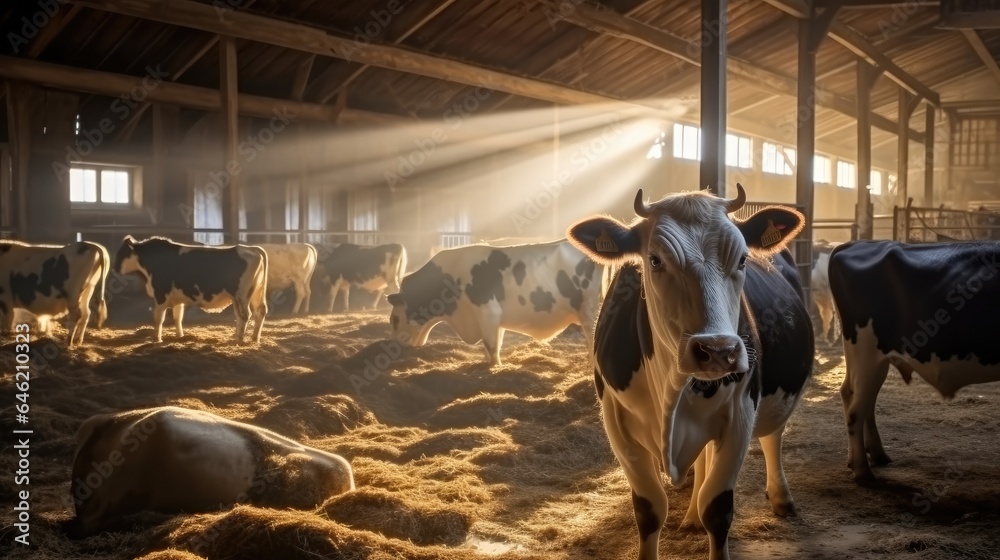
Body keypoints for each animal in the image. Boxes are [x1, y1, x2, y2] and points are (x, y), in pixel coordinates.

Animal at [113, 235, 268, 344]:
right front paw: (180, 336)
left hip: (241, 295)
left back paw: (239, 340)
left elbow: (158, 318)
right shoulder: (177, 299)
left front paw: (157, 339)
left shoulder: (161, 295)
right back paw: (253, 338)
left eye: (121, 253)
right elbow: (178, 317)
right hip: (252, 294)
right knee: (258, 312)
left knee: (244, 315)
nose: (115, 268)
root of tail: (251, 248)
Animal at [384, 237, 600, 366]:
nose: (394, 346)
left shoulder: (487, 312)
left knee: (591, 340)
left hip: (589, 311)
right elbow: (496, 342)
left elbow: (491, 345)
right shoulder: (494, 319)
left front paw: (495, 367)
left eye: (394, 319)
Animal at [568, 186, 816, 560]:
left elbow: (717, 508)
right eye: (655, 260)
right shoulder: (617, 422)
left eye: (742, 259)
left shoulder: (741, 414)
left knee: (772, 435)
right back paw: (692, 516)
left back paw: (781, 498)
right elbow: (649, 509)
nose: (718, 350)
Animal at [832, 238, 1000, 484]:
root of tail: (852, 244)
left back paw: (876, 455)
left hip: (868, 358)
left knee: (856, 397)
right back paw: (863, 471)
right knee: (856, 410)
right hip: (866, 350)